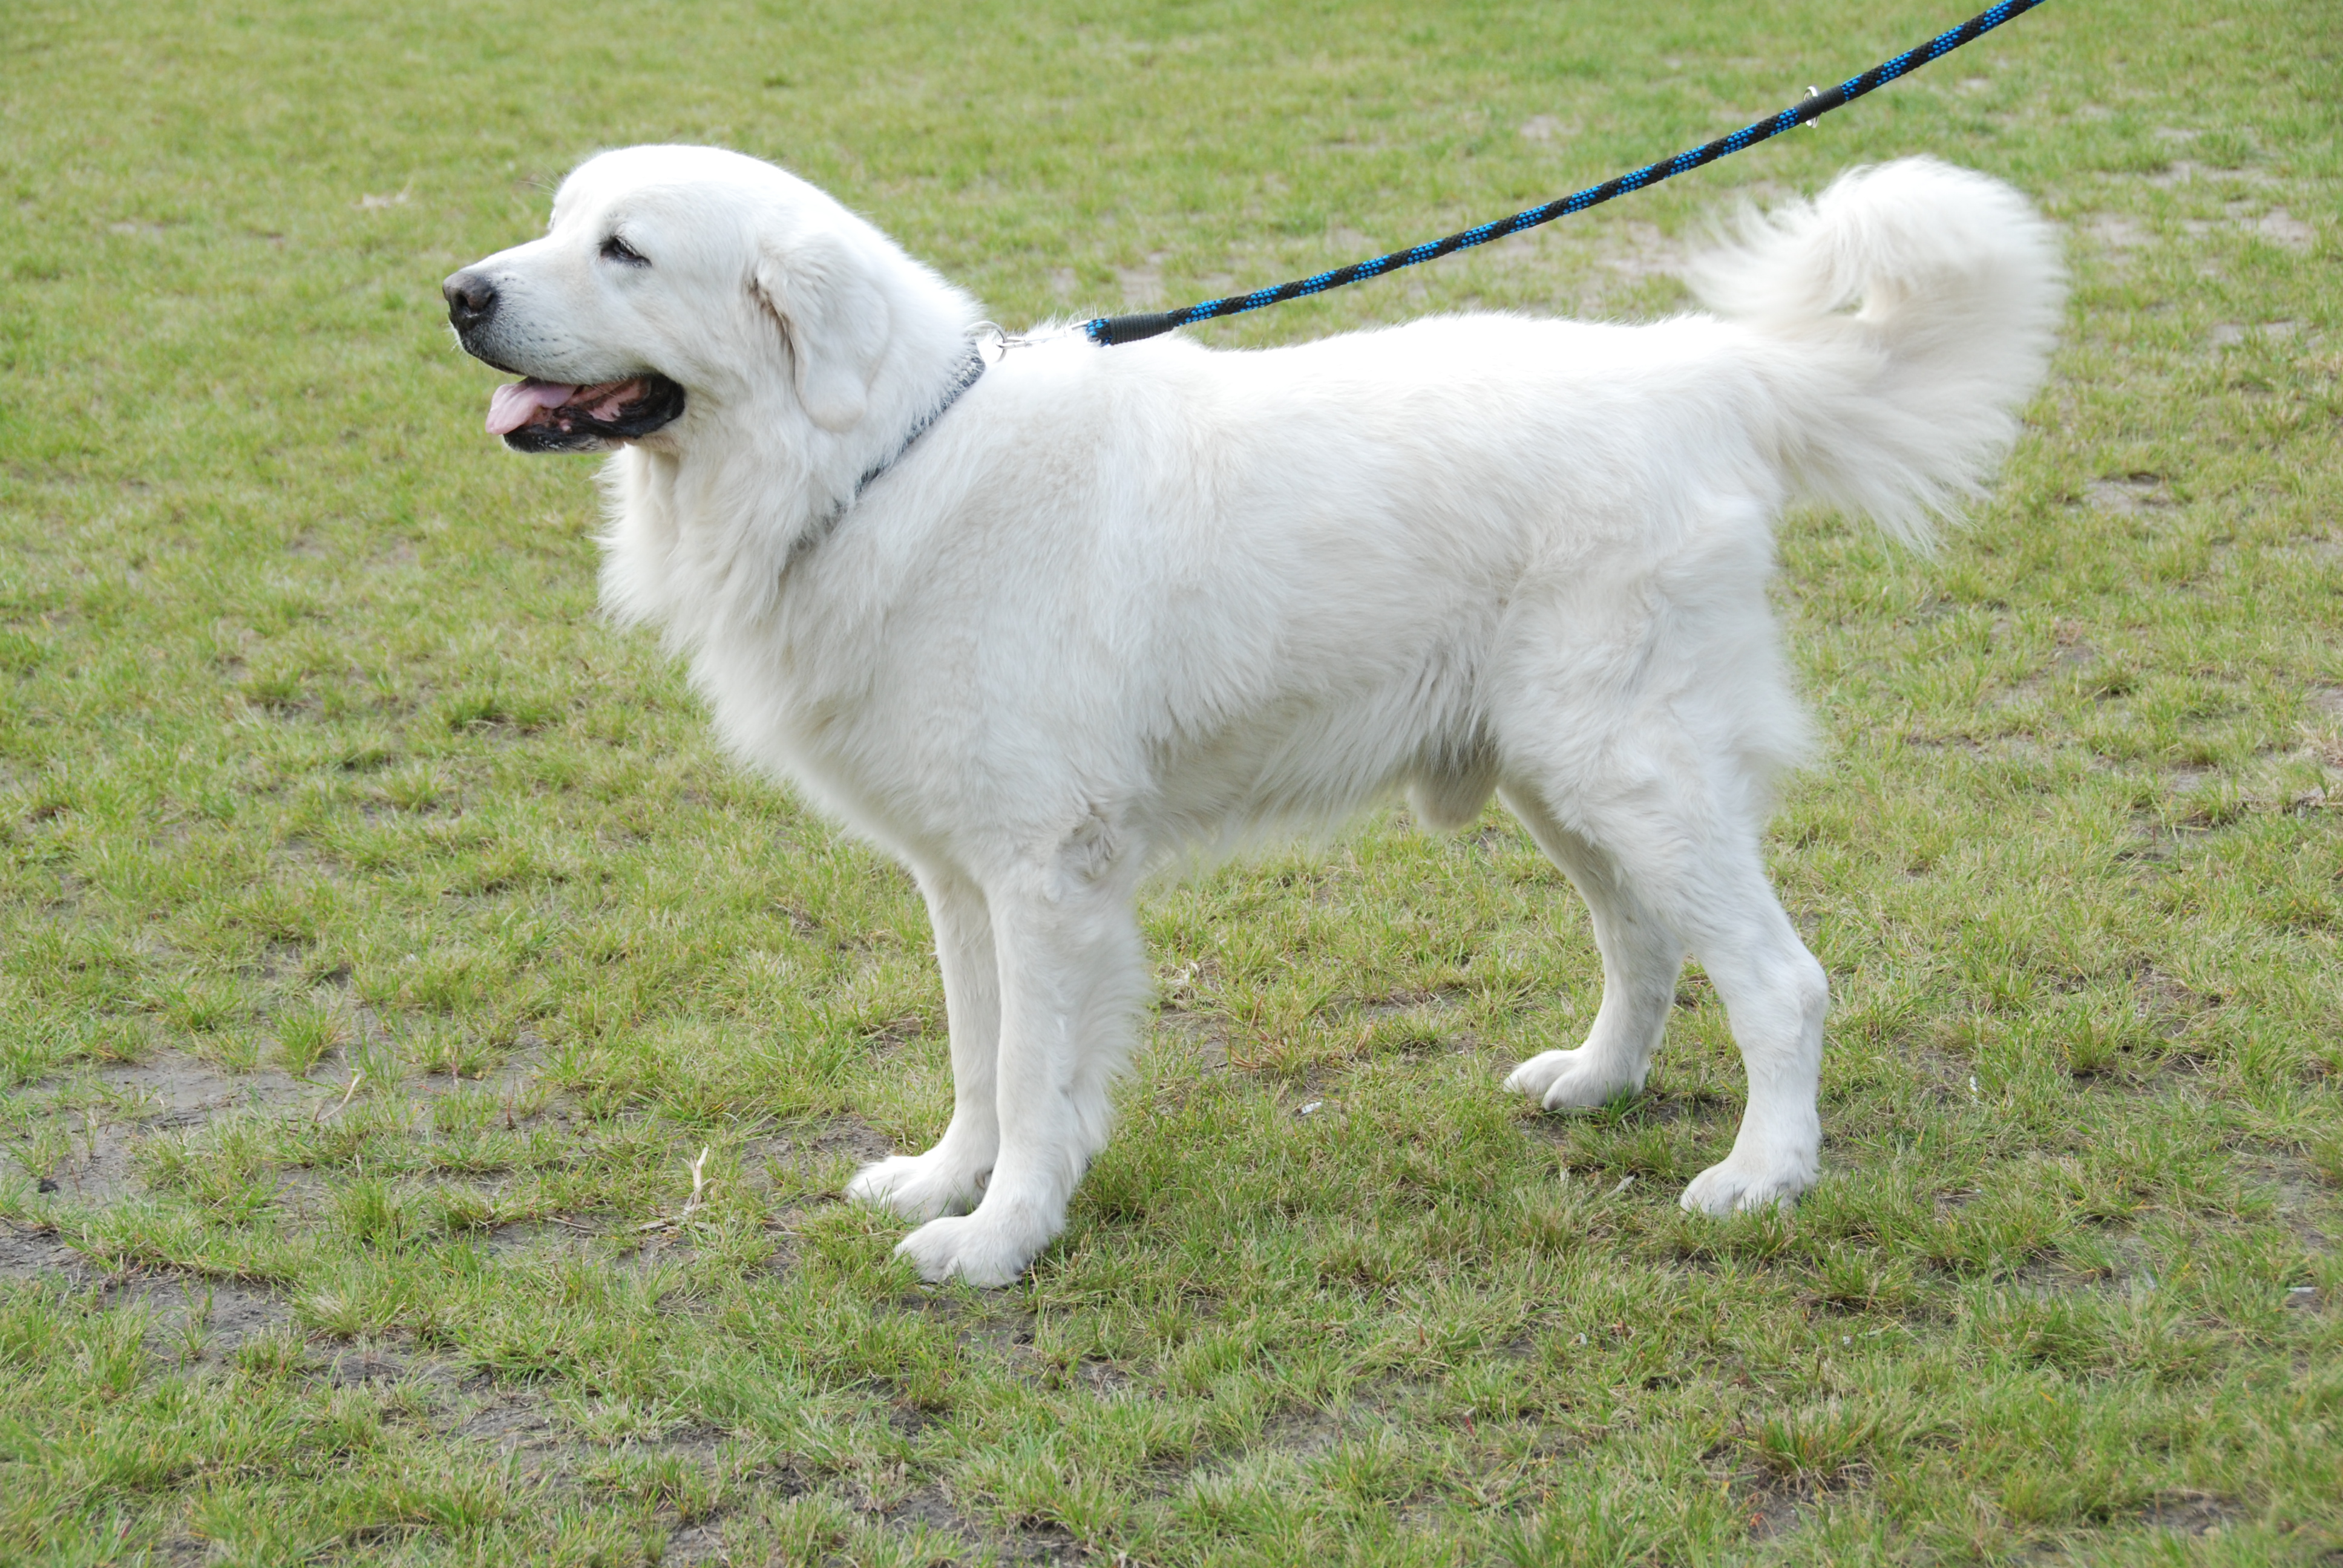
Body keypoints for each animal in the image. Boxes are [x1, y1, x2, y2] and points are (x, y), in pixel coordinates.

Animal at [447, 143, 2062, 1284]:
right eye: (556, 221)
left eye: (624, 250)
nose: (461, 294)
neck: (875, 460)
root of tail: (1703, 369)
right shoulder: (961, 880)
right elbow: (975, 1058)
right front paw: (945, 1181)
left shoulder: (1046, 877)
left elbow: (1033, 1075)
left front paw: (1001, 1240)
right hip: (1560, 774)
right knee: (1647, 942)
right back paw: (1595, 1083)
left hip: (1626, 765)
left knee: (1780, 980)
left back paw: (1762, 1177)